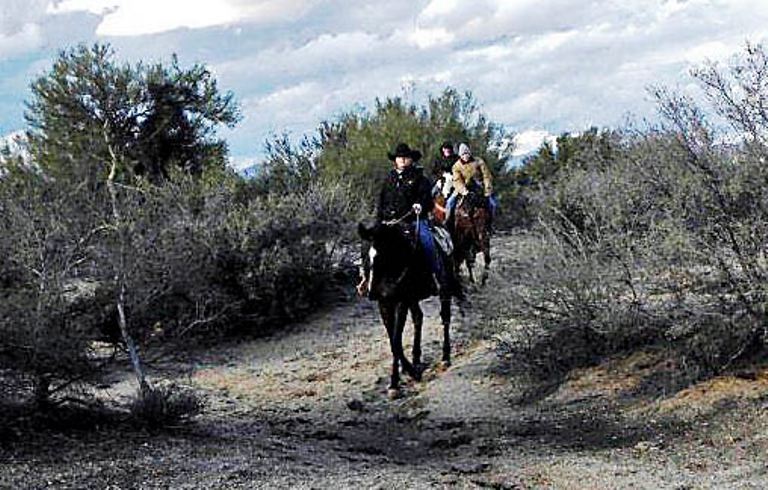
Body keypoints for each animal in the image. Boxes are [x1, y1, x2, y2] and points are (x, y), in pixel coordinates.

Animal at [356, 220, 452, 396]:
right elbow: (393, 341)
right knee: (418, 318)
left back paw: (445, 357)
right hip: (413, 299)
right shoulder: (384, 303)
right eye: (364, 255)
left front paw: (397, 381)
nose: (372, 292)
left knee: (445, 317)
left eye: (383, 255)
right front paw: (407, 372)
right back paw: (416, 358)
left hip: (445, 285)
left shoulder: (402, 301)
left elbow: (395, 339)